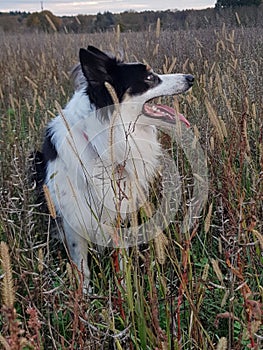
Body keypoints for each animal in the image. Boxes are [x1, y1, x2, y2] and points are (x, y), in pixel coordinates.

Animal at [36, 45, 194, 290]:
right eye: (149, 78)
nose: (190, 78)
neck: (103, 144)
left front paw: (123, 284)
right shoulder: (73, 216)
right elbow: (81, 263)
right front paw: (86, 293)